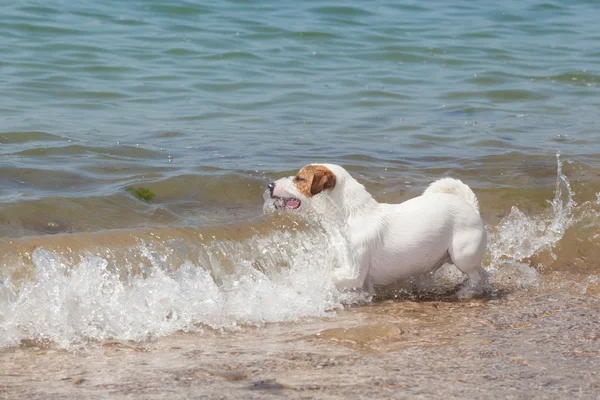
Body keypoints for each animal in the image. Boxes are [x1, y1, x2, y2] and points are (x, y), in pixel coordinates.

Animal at [268, 162, 488, 294]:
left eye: (299, 179)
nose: (270, 185)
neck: (349, 217)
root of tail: (471, 206)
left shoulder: (353, 274)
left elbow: (327, 278)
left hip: (462, 256)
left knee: (477, 276)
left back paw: (467, 291)